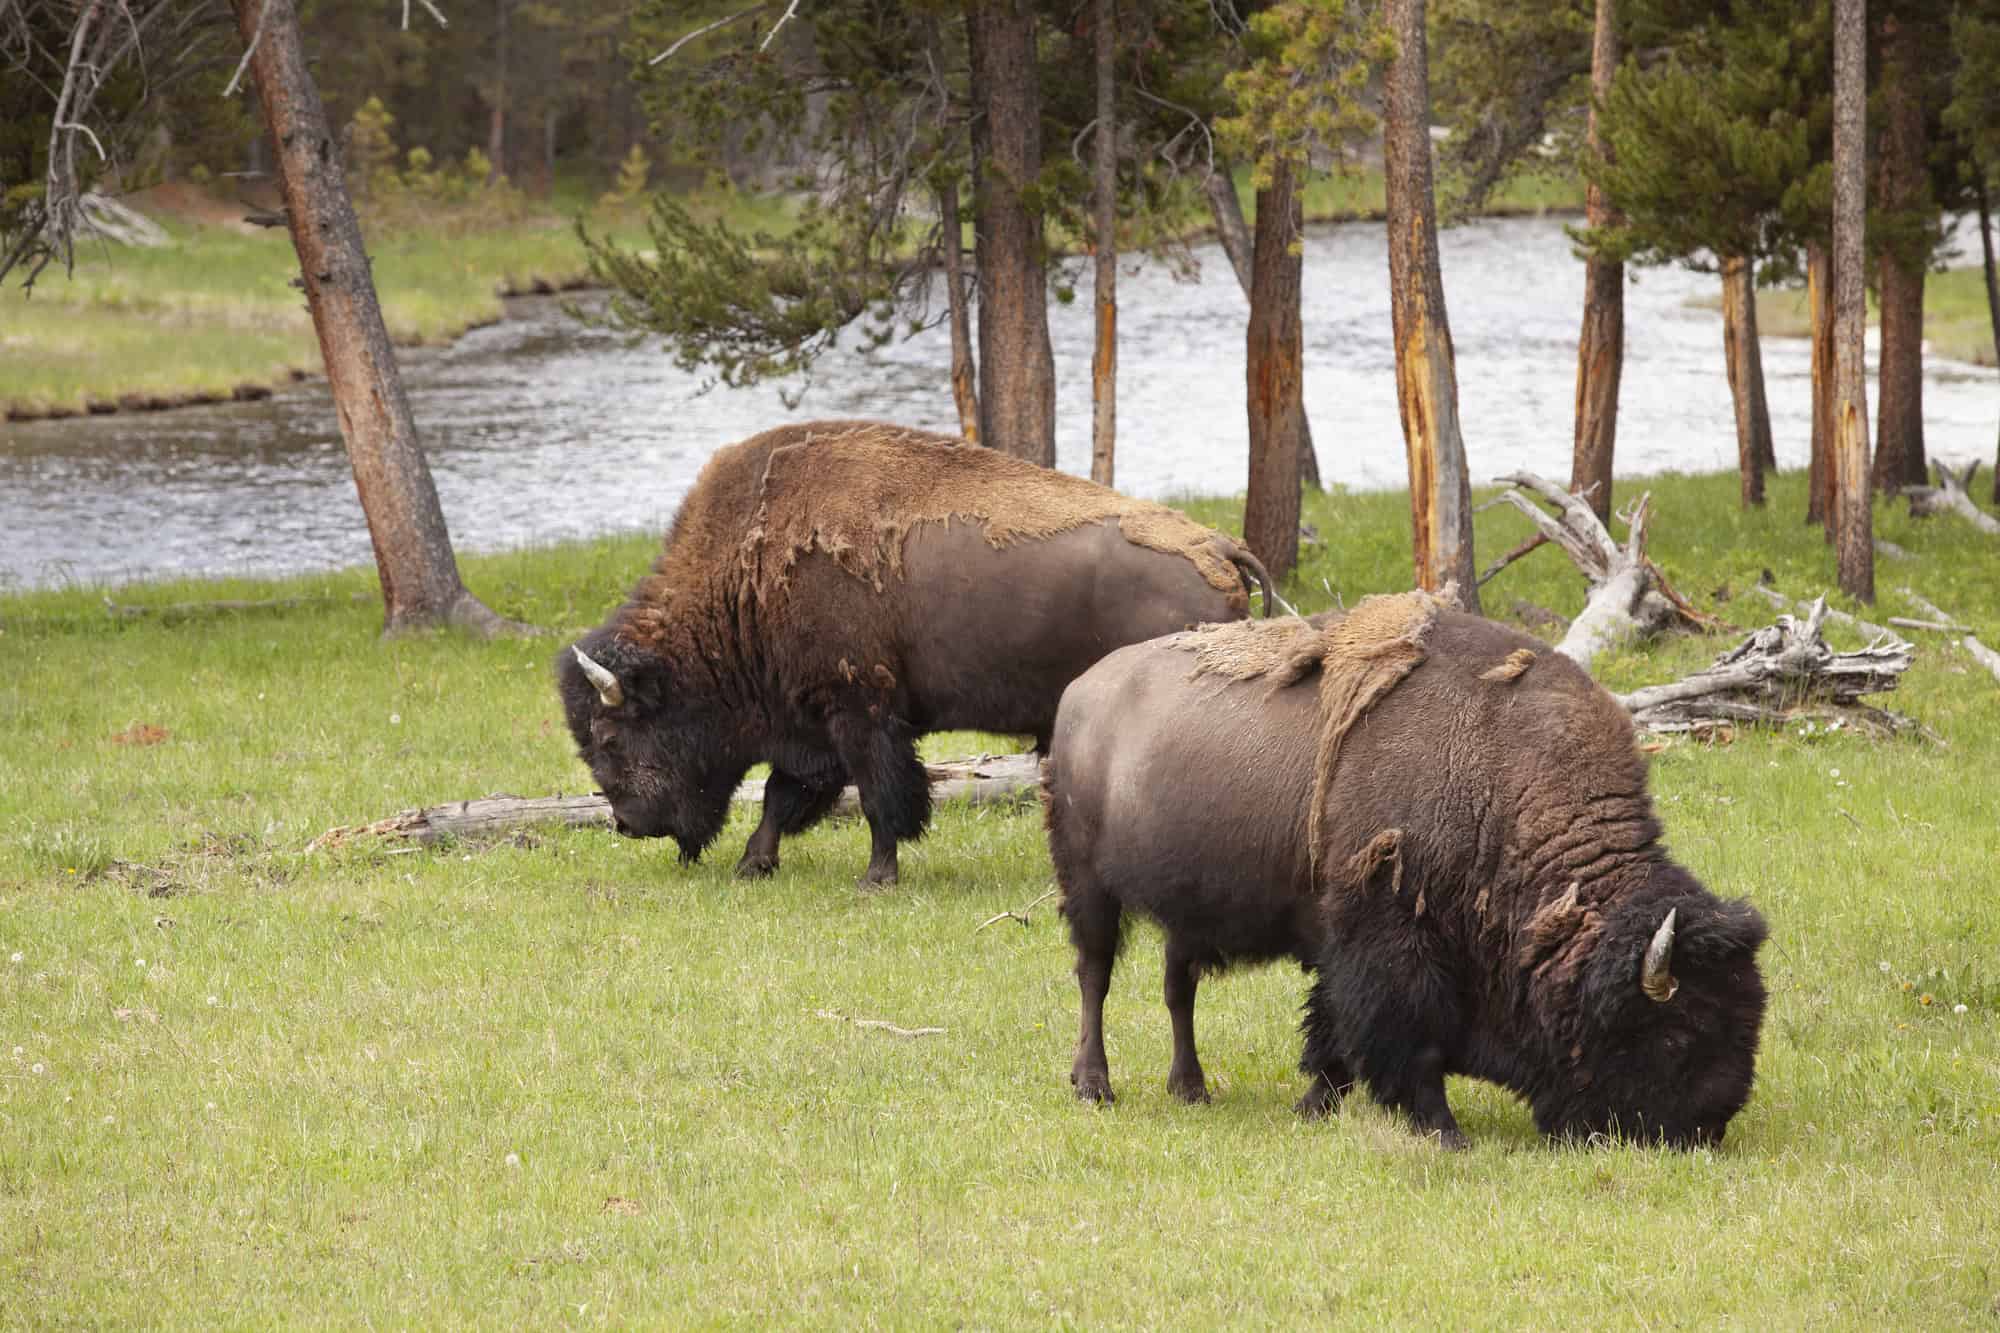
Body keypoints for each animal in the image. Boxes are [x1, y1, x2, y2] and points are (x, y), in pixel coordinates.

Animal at [558, 419, 1275, 885]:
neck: (746, 579)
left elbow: (882, 797)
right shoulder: (812, 726)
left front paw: (877, 876)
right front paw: (753, 864)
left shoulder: (859, 711)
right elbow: (783, 796)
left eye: (611, 738)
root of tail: (1217, 546)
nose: (628, 823)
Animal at [1042, 593, 1769, 1149]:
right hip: (1088, 888)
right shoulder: (1390, 936)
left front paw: (1315, 1105)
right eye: (1680, 1032)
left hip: (1183, 915)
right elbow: (1406, 1035)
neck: (1503, 786)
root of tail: (1079, 693)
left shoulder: (1343, 942)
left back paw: (1191, 1088)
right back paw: (1095, 1086)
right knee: (1094, 976)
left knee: (1178, 989)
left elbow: (1331, 1032)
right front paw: (1444, 1131)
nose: (1705, 1129)